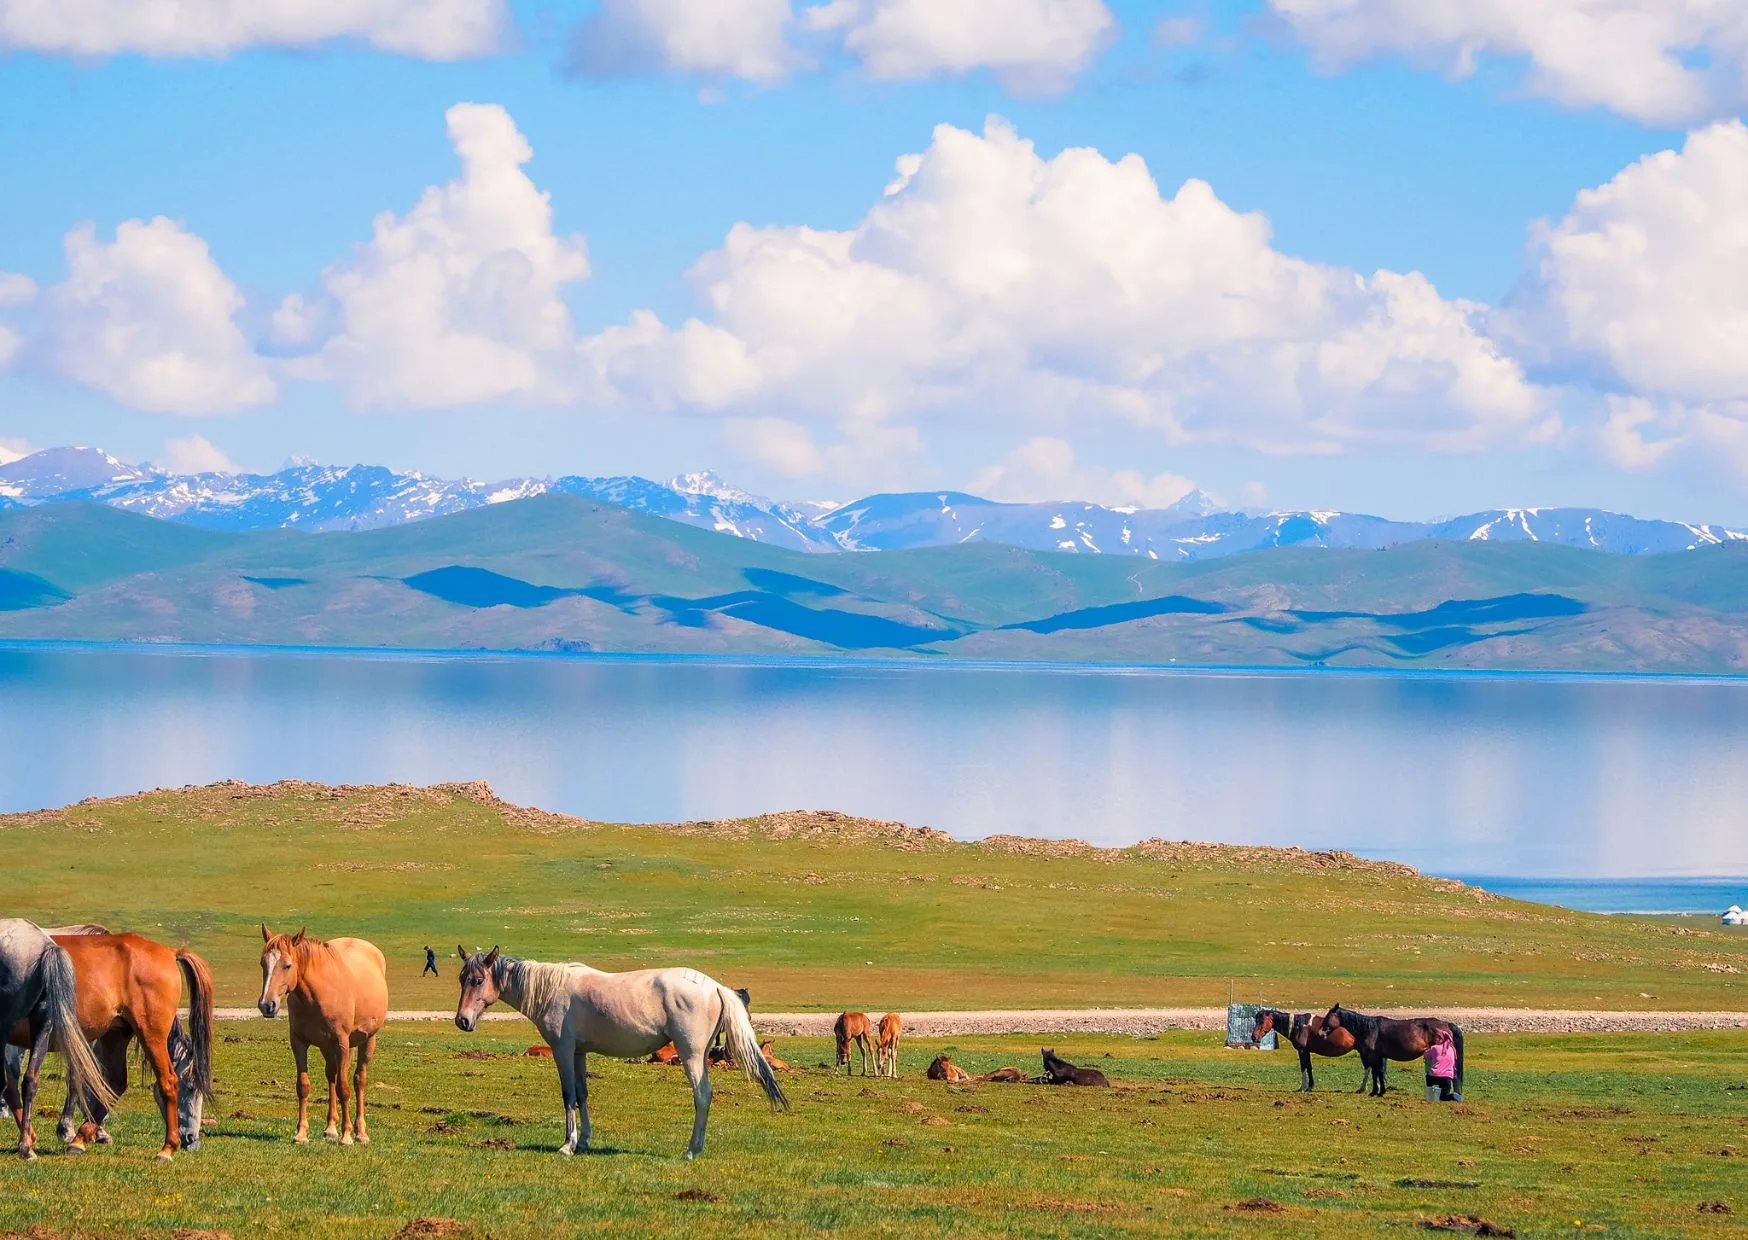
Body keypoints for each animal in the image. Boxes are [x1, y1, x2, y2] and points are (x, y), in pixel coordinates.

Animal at [257, 925, 388, 1145]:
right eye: (263, 963)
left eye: (288, 965)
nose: (267, 1005)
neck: (317, 994)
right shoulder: (299, 1042)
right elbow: (303, 1086)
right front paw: (301, 1134)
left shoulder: (342, 1043)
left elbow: (344, 1089)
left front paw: (347, 1136)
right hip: (328, 1047)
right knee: (332, 1076)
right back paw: (330, 1129)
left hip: (367, 1040)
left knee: (358, 1080)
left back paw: (360, 1132)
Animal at [454, 946, 787, 1160]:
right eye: (461, 979)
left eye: (478, 980)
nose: (462, 1021)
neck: (551, 990)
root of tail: (715, 986)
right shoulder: (579, 1053)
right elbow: (582, 1093)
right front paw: (584, 1141)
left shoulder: (562, 1050)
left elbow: (568, 1095)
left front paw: (567, 1145)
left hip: (691, 1055)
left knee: (703, 1094)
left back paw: (692, 1150)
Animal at [1322, 1005, 1465, 1098]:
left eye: (1328, 1016)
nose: (1321, 1032)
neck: (1369, 1029)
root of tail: (1446, 1024)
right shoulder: (1379, 1056)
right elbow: (1379, 1073)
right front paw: (1380, 1091)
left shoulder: (1373, 1056)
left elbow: (1375, 1073)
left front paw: (1375, 1092)